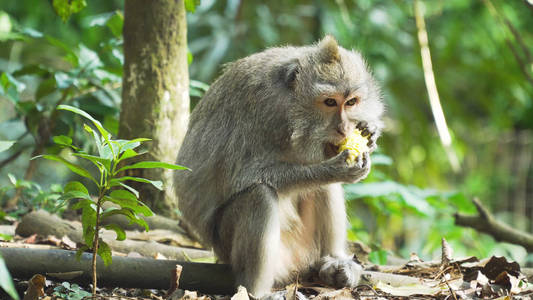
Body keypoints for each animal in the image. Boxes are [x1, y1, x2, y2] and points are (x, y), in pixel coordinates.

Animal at [175, 35, 382, 298]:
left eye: (352, 102)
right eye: (329, 102)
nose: (344, 129)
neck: (291, 106)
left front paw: (371, 132)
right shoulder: (262, 109)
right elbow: (244, 176)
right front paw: (334, 169)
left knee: (322, 188)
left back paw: (333, 262)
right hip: (231, 247)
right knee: (260, 195)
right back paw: (257, 291)